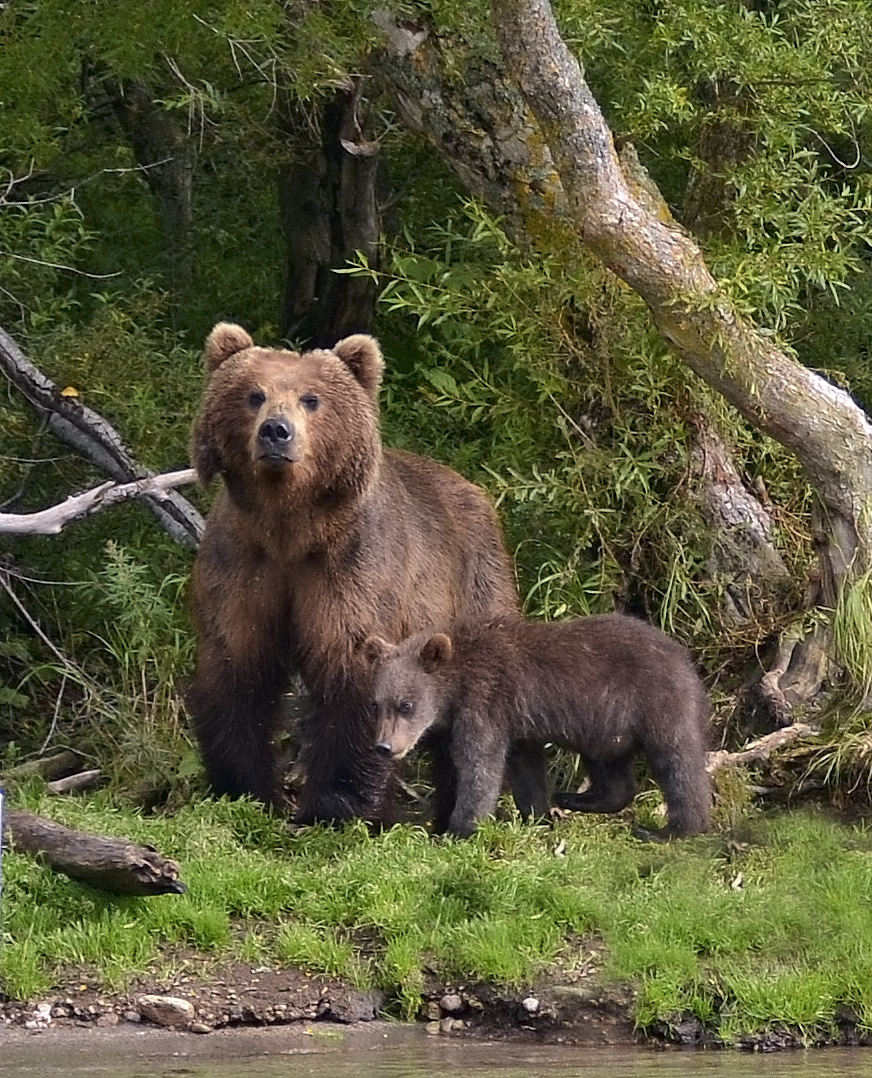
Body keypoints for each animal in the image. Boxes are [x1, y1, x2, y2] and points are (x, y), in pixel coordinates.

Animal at [187, 321, 547, 823]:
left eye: (312, 398)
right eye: (254, 394)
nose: (276, 432)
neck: (289, 529)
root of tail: (477, 492)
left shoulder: (352, 571)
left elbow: (356, 675)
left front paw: (336, 805)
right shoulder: (243, 564)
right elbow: (236, 669)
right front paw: (245, 790)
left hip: (476, 583)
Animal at [364, 616, 711, 840]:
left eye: (406, 705)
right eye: (377, 704)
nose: (385, 747)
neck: (455, 686)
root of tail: (684, 657)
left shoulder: (486, 701)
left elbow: (479, 766)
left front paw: (457, 829)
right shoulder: (519, 726)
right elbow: (526, 771)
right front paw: (539, 815)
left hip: (657, 703)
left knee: (678, 761)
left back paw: (671, 829)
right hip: (605, 726)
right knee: (612, 772)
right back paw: (574, 798)